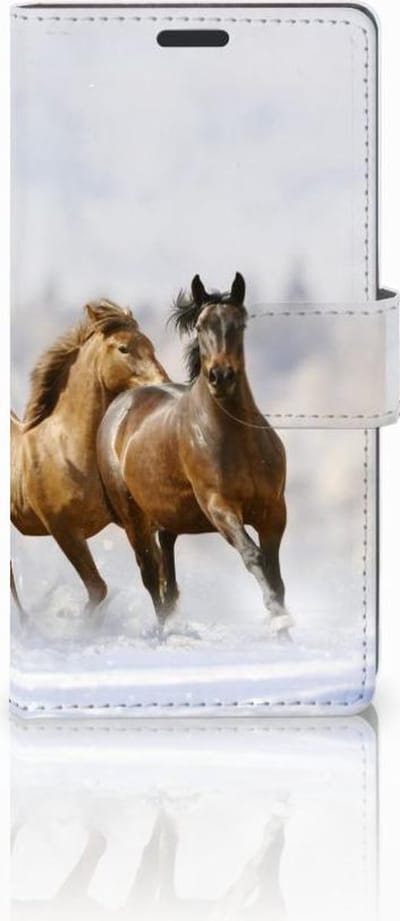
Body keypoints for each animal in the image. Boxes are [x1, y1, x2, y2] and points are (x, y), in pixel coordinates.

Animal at [11, 299, 168, 612]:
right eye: (123, 348)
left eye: (150, 345)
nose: (163, 382)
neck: (67, 450)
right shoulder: (64, 530)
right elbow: (98, 588)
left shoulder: (134, 521)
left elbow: (156, 579)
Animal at [97, 274, 292, 633]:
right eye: (201, 326)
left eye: (239, 324)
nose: (220, 376)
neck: (237, 440)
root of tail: (120, 405)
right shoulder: (220, 508)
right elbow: (253, 556)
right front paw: (277, 616)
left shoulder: (274, 511)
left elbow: (275, 574)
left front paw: (283, 627)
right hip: (133, 518)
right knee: (151, 576)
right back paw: (162, 632)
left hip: (167, 518)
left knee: (168, 576)